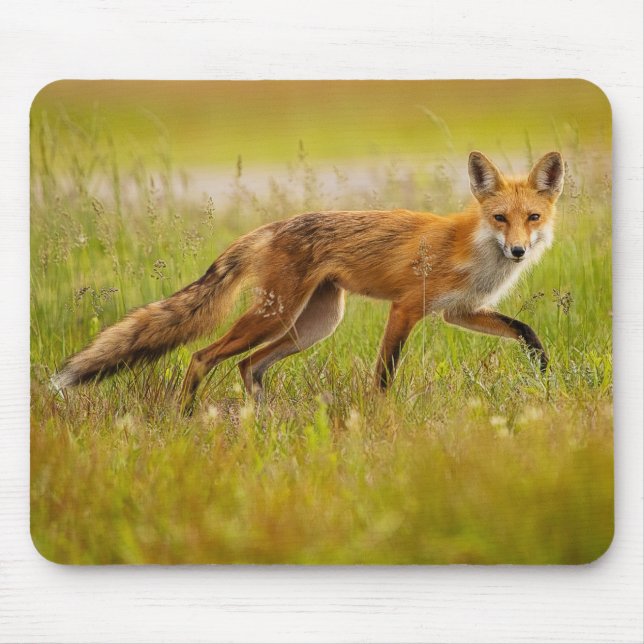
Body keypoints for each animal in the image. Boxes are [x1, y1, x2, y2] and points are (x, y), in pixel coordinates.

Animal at [53, 150, 564, 413]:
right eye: (500, 218)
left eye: (532, 218)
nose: (518, 251)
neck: (473, 249)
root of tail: (272, 226)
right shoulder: (406, 308)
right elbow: (384, 374)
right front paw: (379, 420)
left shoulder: (460, 312)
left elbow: (525, 330)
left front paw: (545, 372)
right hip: (273, 317)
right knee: (203, 356)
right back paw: (185, 415)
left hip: (311, 325)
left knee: (249, 366)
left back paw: (261, 420)